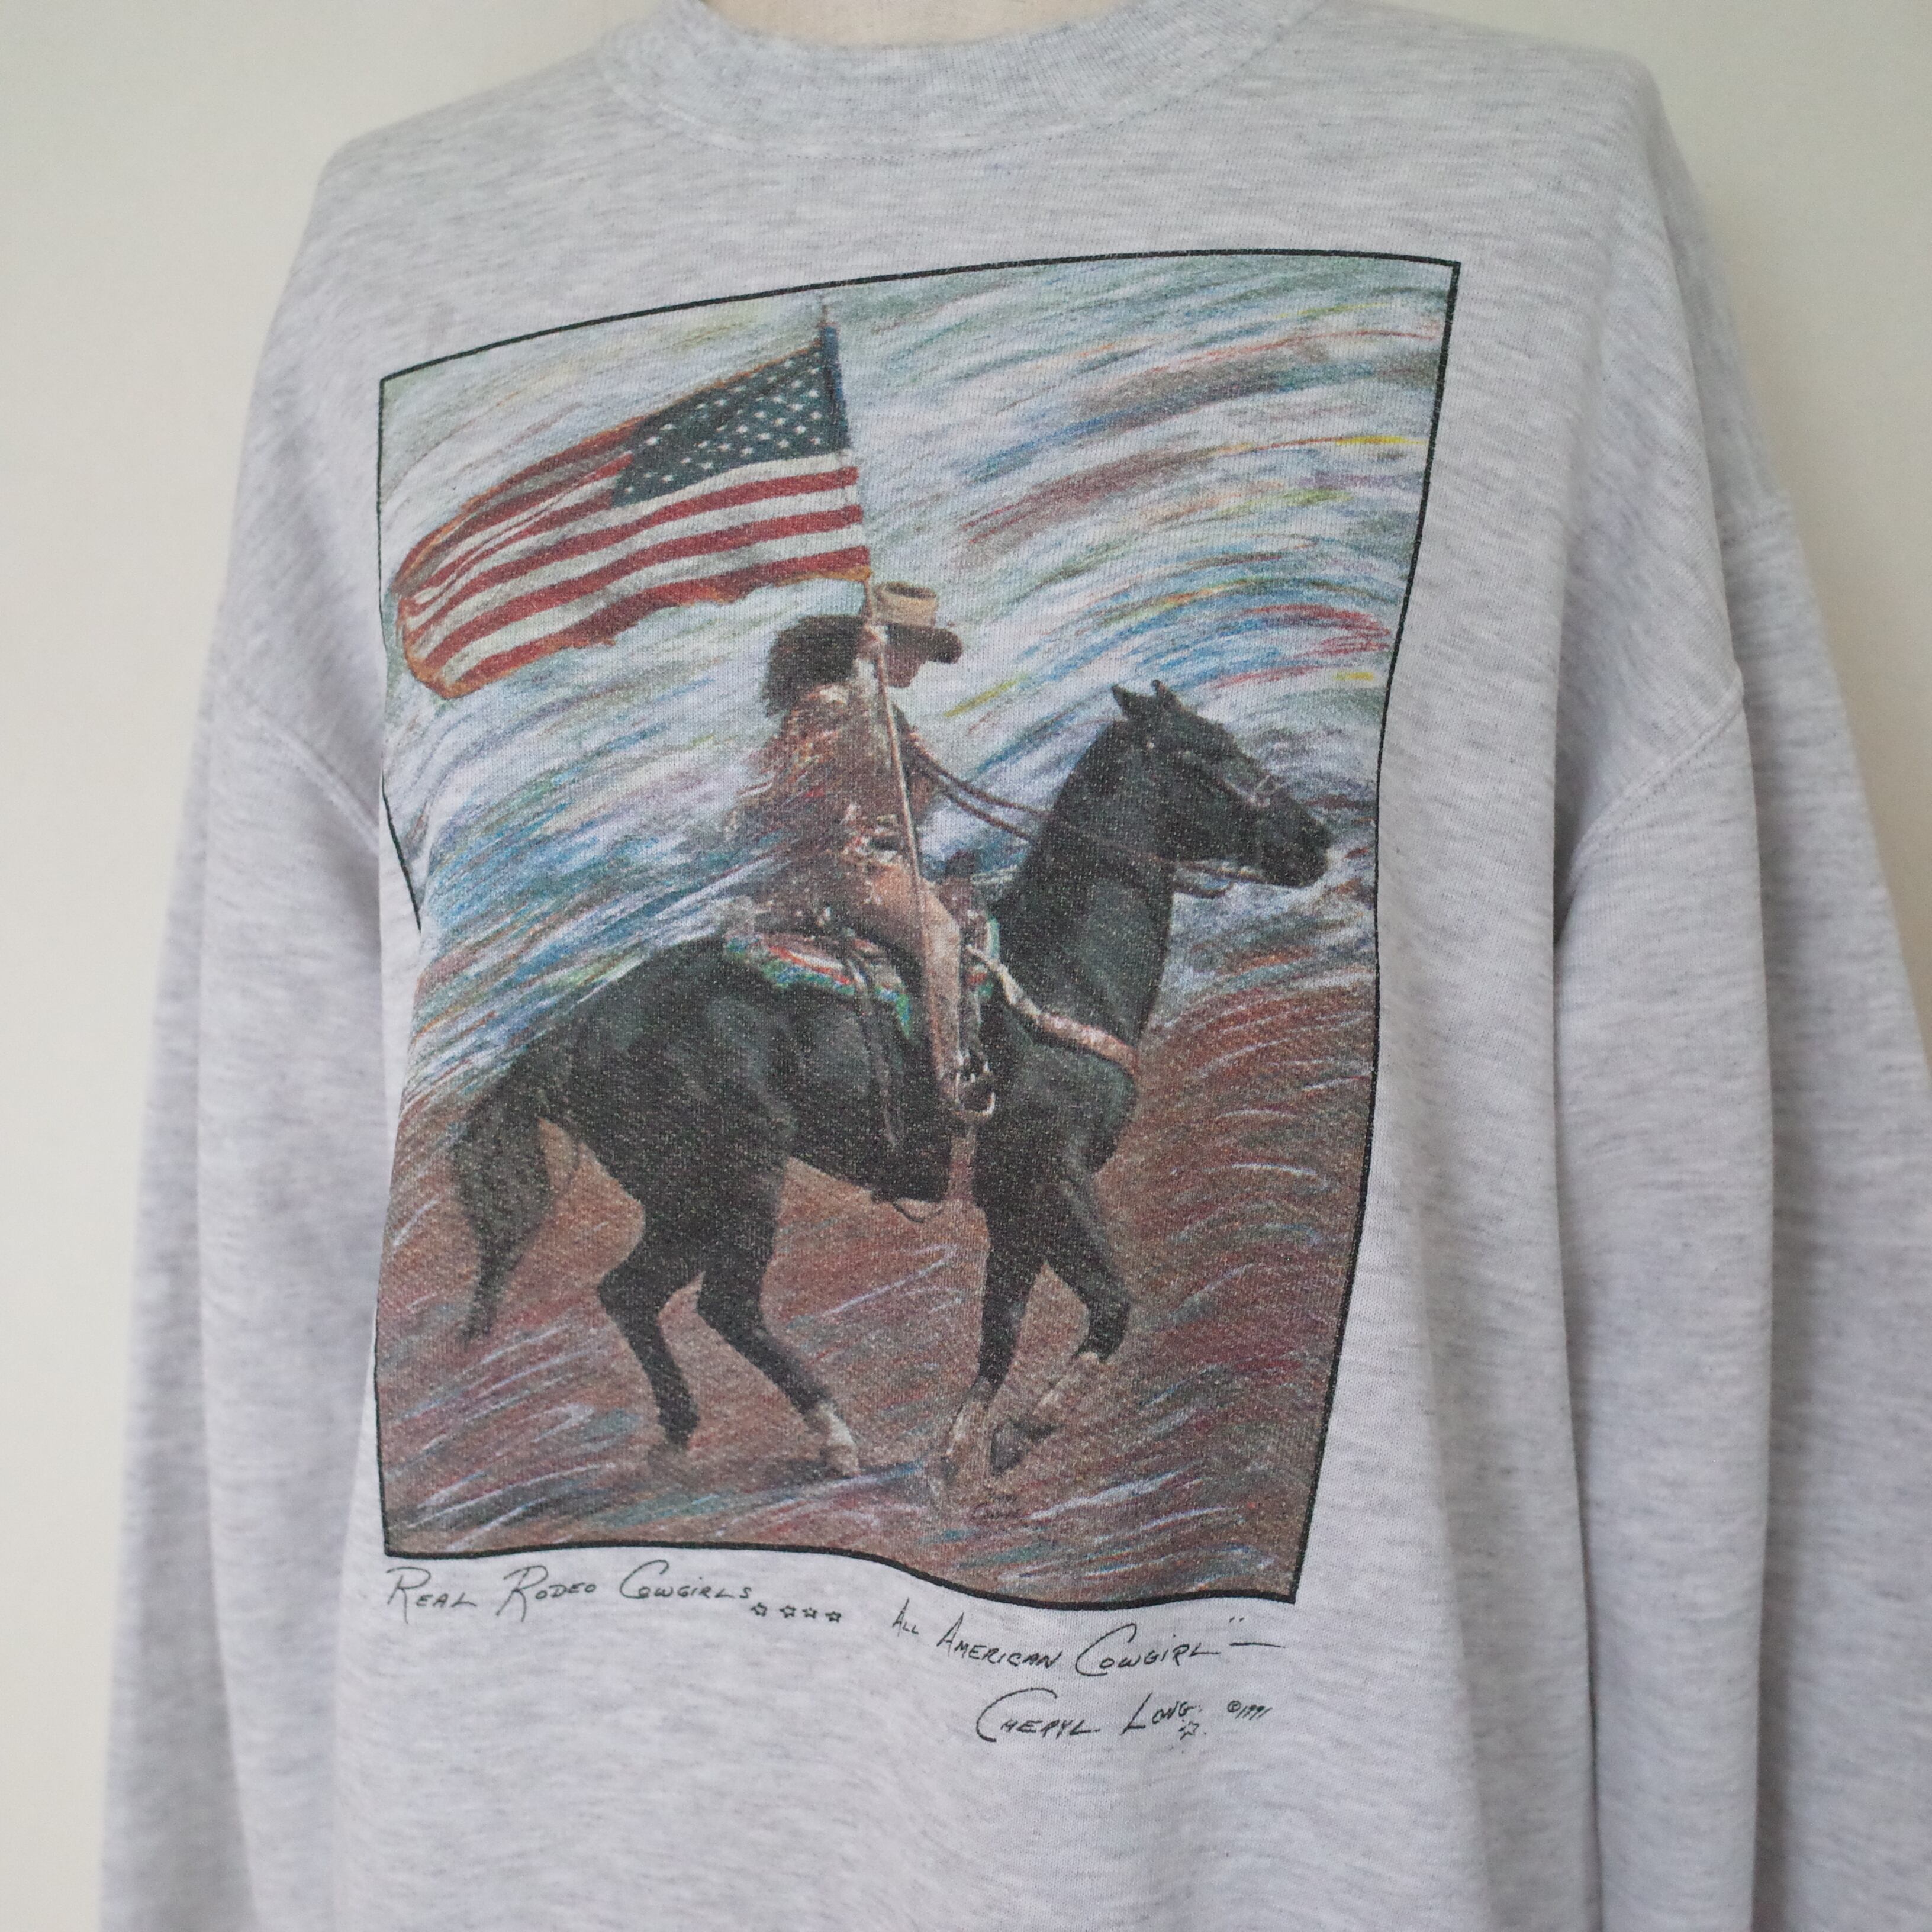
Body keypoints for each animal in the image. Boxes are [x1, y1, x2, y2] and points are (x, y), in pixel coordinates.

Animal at [450, 681, 1332, 1481]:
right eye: (1208, 751)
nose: (1316, 837)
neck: (1062, 969)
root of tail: (576, 1030)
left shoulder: (1014, 1196)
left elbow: (1001, 1329)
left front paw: (957, 1454)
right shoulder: (1054, 1171)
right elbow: (1111, 1307)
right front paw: (1020, 1436)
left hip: (683, 1201)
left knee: (629, 1293)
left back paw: (677, 1433)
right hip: (739, 1182)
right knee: (725, 1305)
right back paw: (834, 1436)